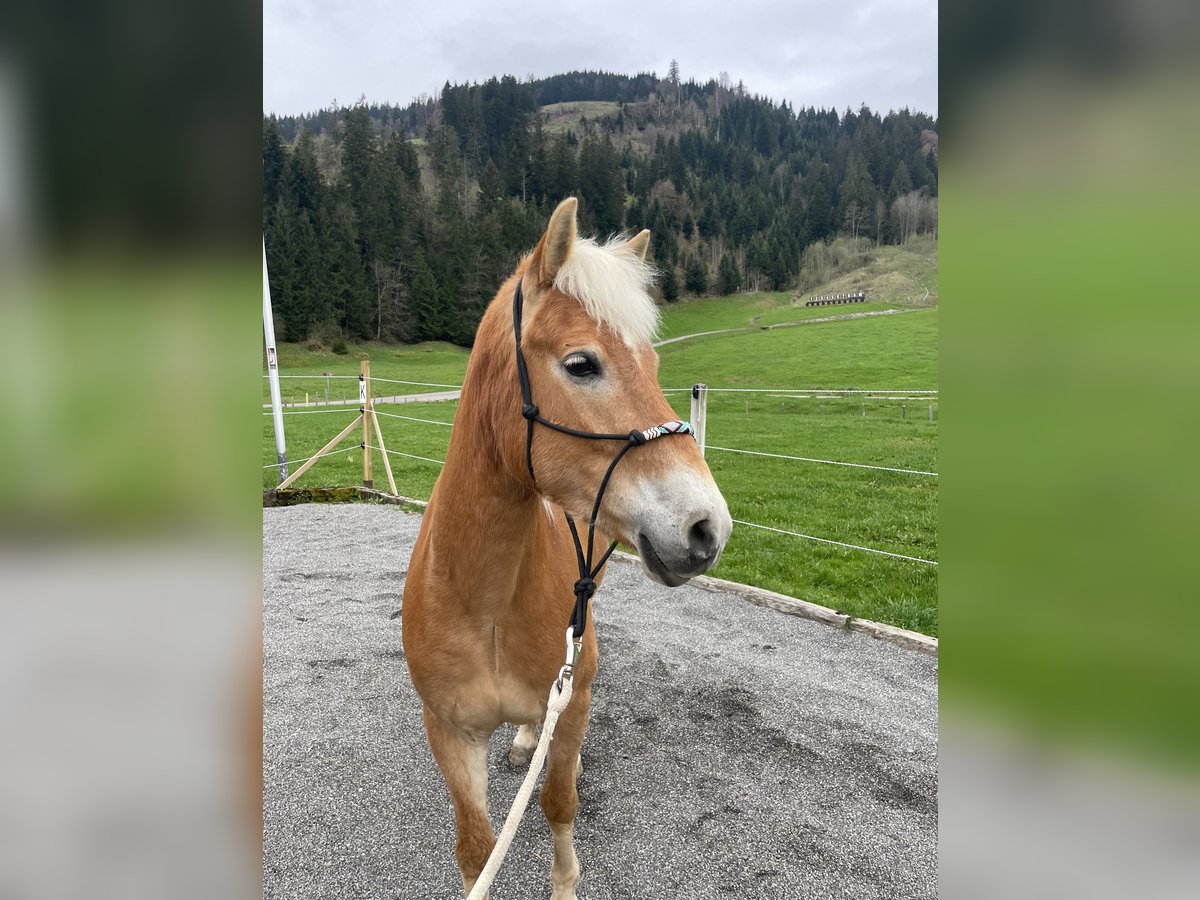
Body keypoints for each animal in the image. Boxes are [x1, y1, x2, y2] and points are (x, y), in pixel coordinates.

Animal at [403, 194, 729, 897]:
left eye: (655, 366)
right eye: (582, 364)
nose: (706, 528)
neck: (484, 601)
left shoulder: (574, 700)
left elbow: (558, 803)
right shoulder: (448, 732)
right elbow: (477, 848)